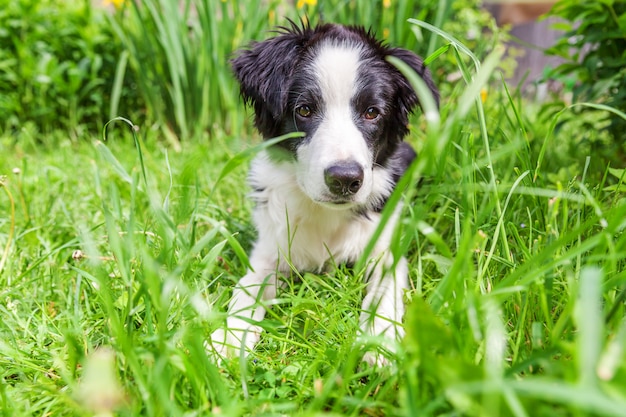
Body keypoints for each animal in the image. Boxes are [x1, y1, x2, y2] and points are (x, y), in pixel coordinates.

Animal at [208, 21, 434, 364]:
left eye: (372, 112)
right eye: (304, 109)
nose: (344, 179)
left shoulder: (385, 249)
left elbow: (384, 291)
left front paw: (380, 339)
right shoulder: (270, 248)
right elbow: (247, 289)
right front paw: (228, 338)